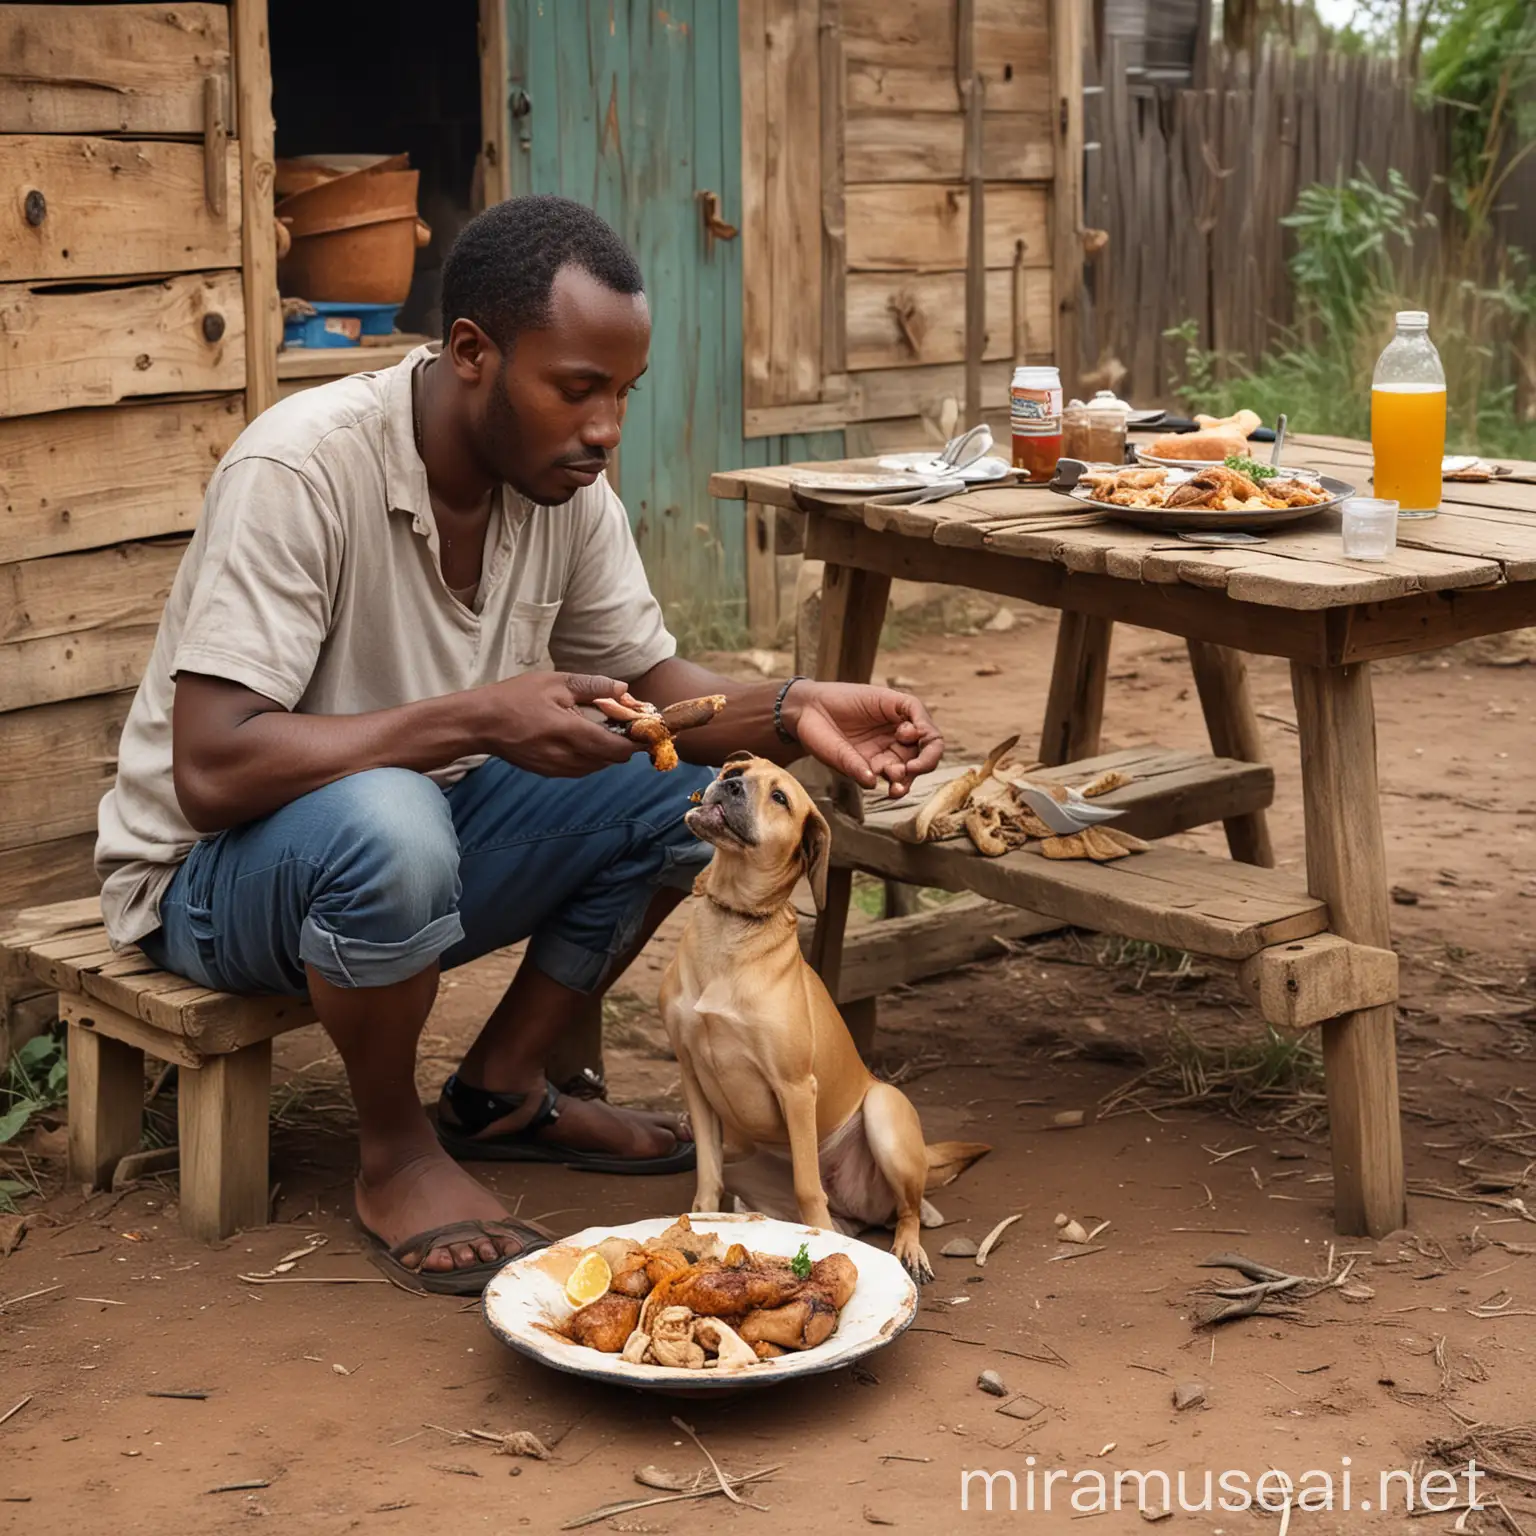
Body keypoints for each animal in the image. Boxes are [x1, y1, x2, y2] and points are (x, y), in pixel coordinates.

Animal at [663, 755, 995, 1284]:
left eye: (780, 798)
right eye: (736, 769)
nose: (730, 784)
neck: (733, 922)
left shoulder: (796, 1086)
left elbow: (807, 1185)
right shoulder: (692, 1075)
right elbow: (707, 1178)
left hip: (882, 1111)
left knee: (905, 1211)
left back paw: (909, 1245)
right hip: (745, 1161)